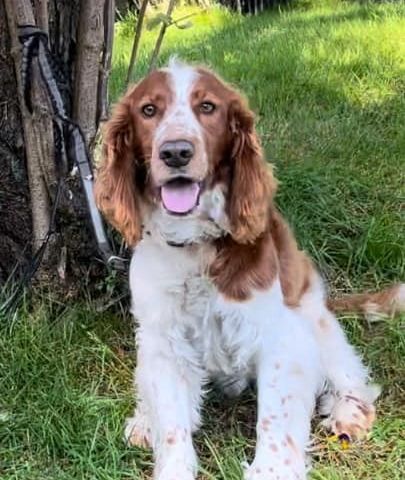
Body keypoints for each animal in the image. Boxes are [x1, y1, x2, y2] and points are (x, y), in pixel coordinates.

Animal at [94, 58, 400, 478]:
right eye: (149, 110)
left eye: (207, 107)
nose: (176, 152)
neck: (195, 245)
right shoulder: (163, 339)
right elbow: (172, 424)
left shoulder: (279, 338)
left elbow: (275, 422)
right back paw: (143, 421)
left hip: (315, 320)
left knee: (352, 376)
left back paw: (348, 414)